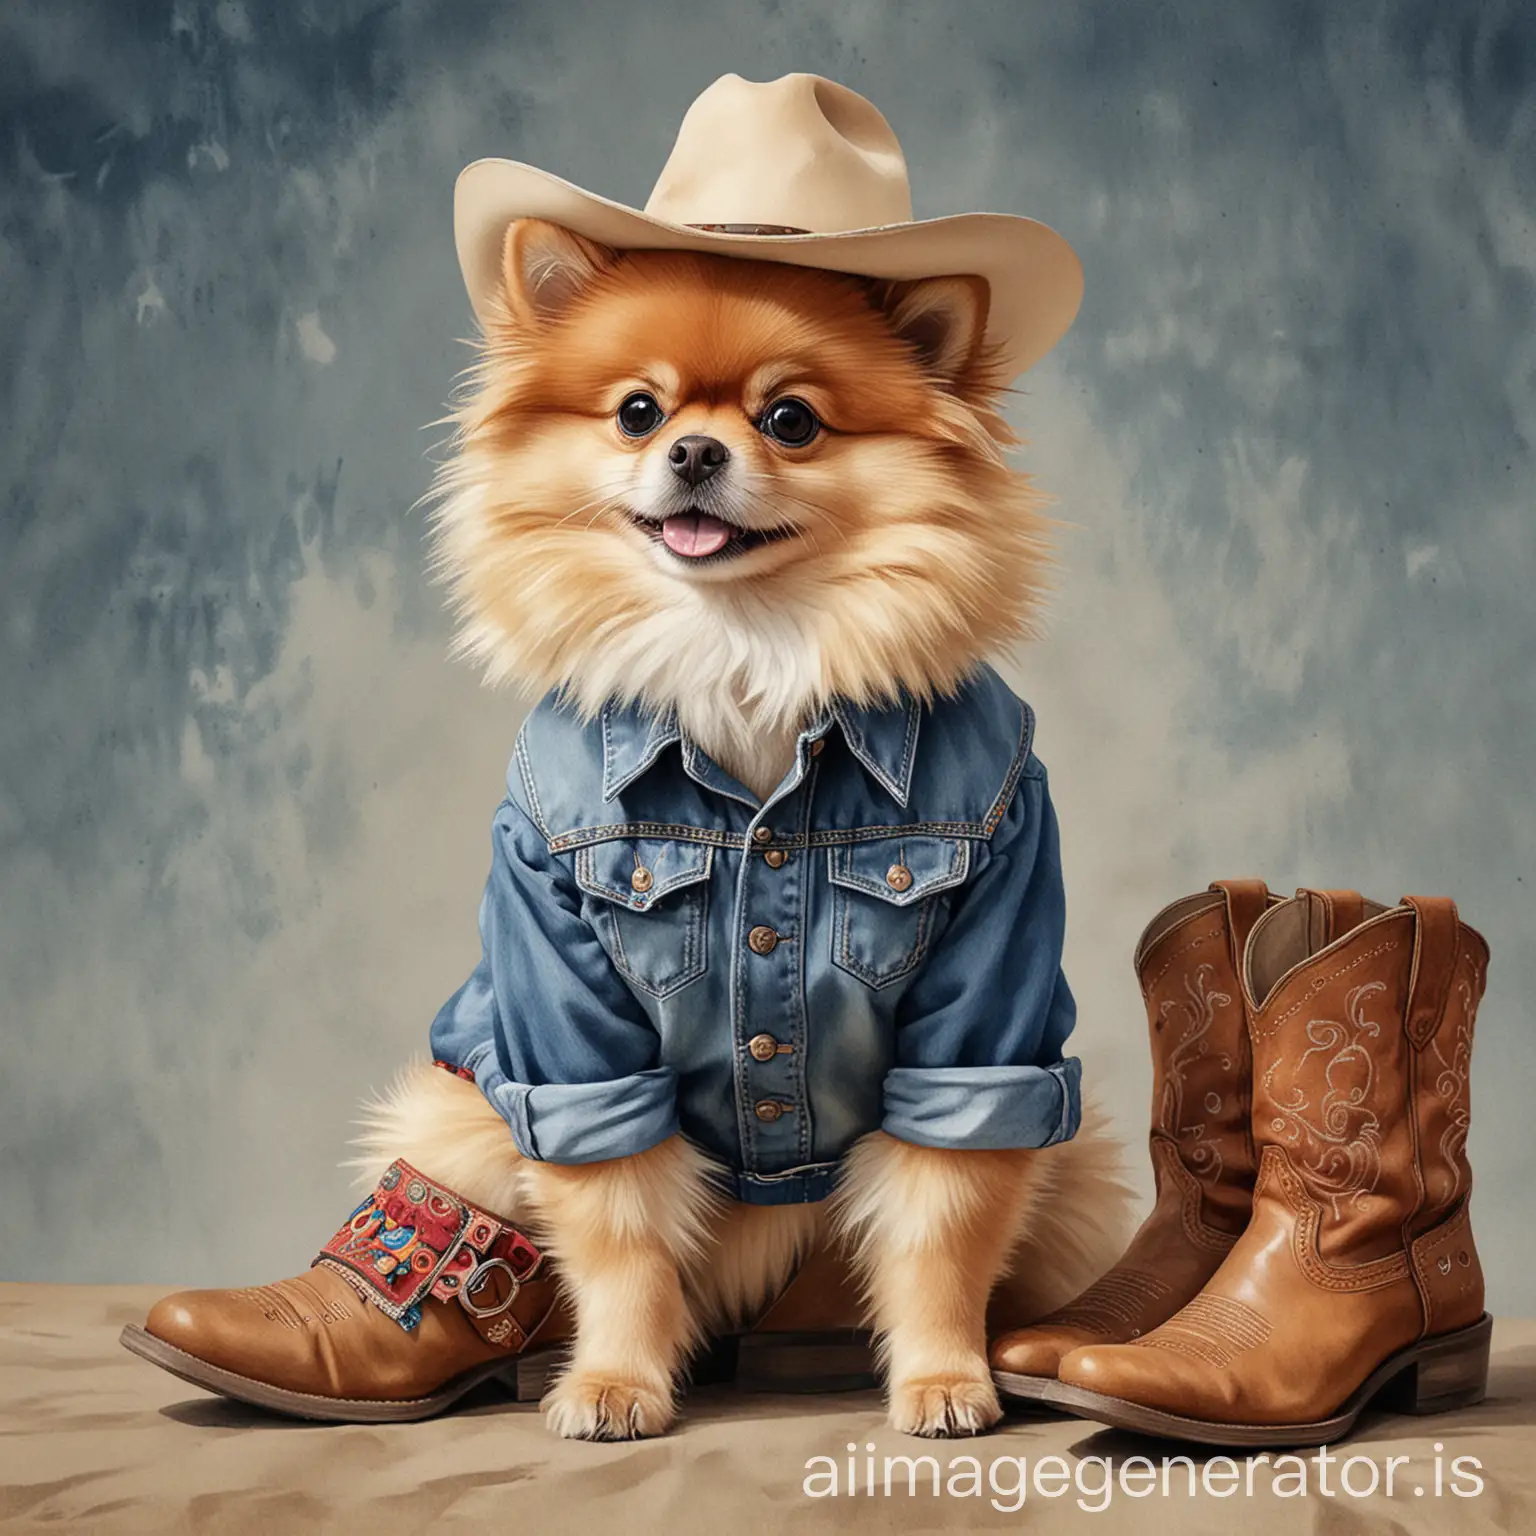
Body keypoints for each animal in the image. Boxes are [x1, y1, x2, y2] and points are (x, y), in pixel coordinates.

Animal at [353, 219, 1136, 1437]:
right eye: (638, 412)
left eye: (791, 420)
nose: (693, 452)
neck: (748, 651)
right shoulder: (568, 1007)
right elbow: (620, 1233)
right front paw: (617, 1381)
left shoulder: (984, 997)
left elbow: (943, 1222)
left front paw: (943, 1376)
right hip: (458, 1114)